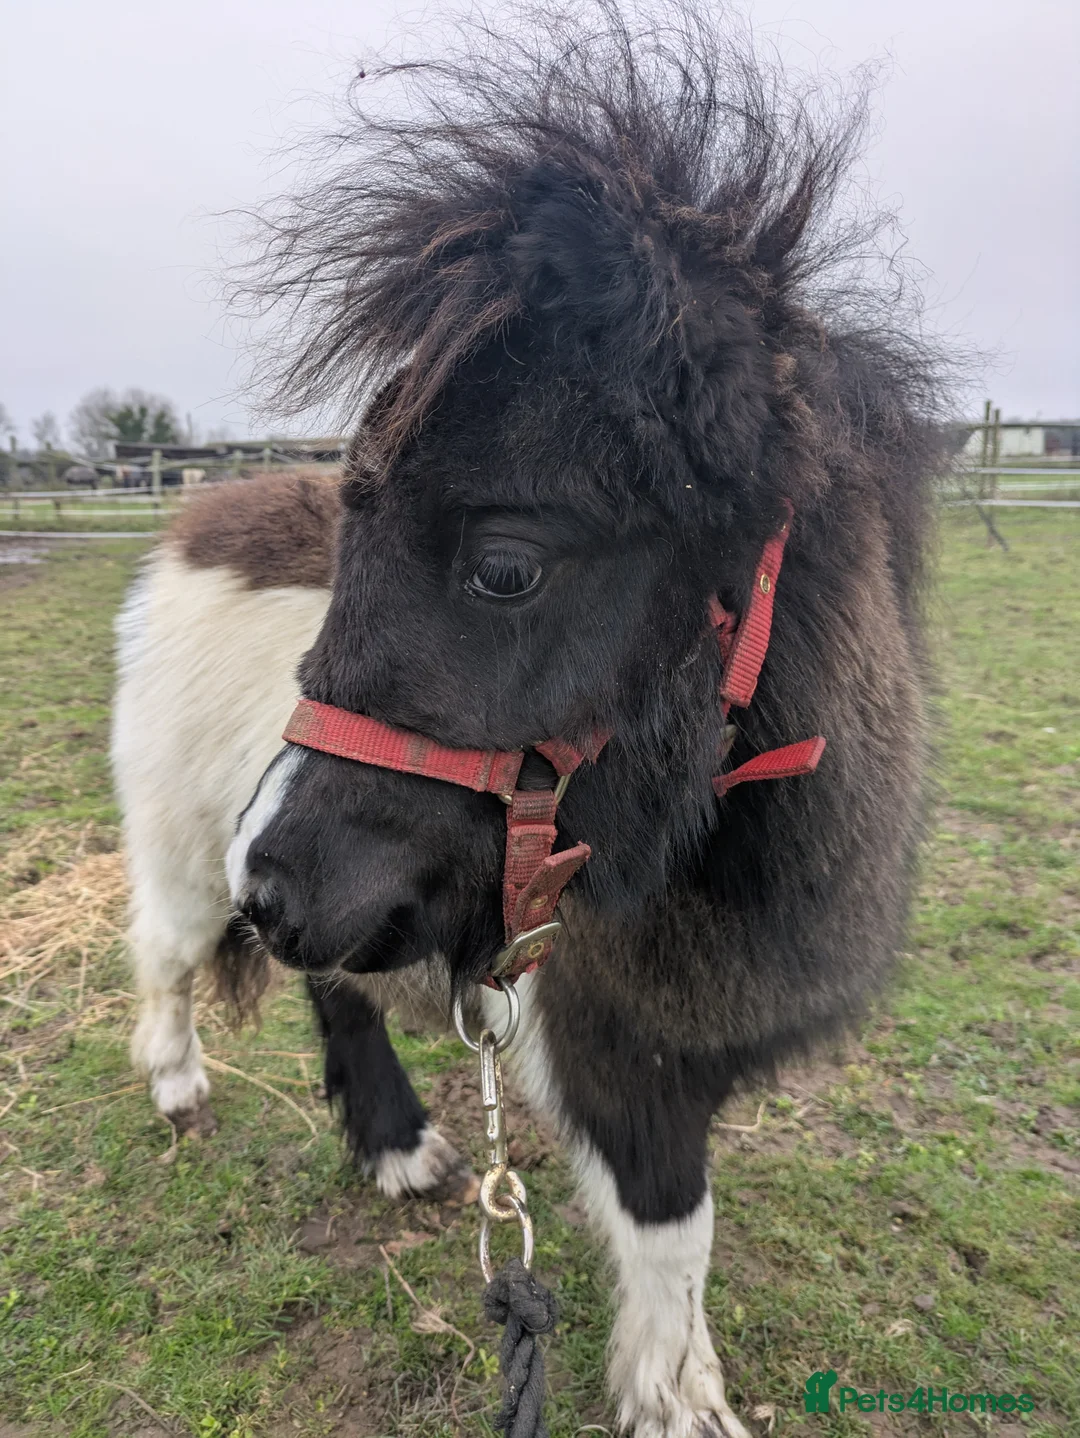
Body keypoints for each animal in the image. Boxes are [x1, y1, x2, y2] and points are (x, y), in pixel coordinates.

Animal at [112, 8, 945, 1433]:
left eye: (506, 563)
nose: (279, 879)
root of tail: (196, 521)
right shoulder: (617, 1056)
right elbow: (675, 1231)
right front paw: (678, 1400)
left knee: (331, 984)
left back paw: (398, 1149)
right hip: (186, 848)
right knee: (167, 955)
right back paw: (177, 1083)